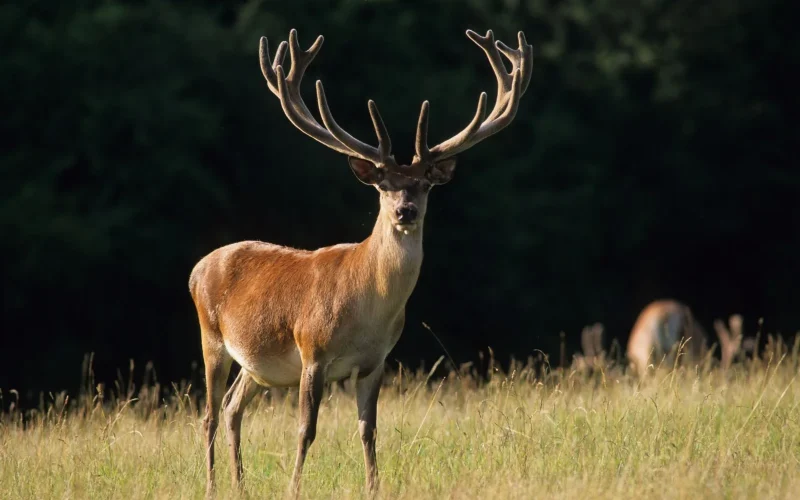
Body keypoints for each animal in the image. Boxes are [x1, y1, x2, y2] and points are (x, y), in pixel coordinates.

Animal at [188, 28, 533, 496]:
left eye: (425, 184)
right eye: (383, 185)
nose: (405, 211)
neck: (367, 310)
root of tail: (197, 269)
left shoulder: (376, 361)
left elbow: (368, 431)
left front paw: (374, 487)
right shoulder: (312, 349)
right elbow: (306, 430)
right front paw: (294, 488)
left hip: (255, 366)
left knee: (231, 408)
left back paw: (240, 485)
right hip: (212, 337)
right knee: (207, 414)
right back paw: (212, 486)